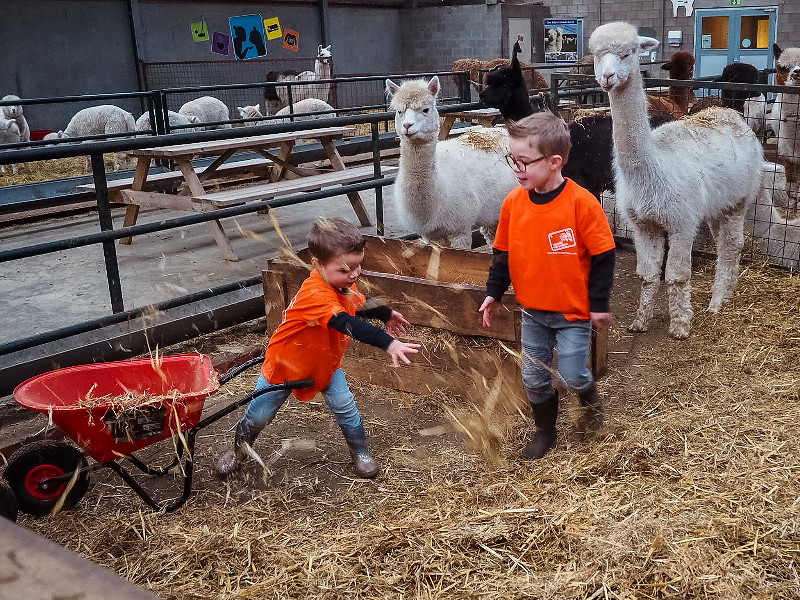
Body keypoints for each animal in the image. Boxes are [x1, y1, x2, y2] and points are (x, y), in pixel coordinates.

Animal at [386, 75, 520, 248]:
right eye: (399, 111)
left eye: (425, 109)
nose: (407, 126)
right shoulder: (431, 236)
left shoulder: (460, 229)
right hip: (494, 213)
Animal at [592, 22, 764, 338]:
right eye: (597, 55)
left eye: (627, 53)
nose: (607, 77)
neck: (655, 168)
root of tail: (728, 112)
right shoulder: (643, 225)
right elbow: (648, 276)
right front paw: (640, 322)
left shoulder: (682, 222)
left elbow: (677, 276)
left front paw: (681, 325)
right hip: (716, 205)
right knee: (724, 242)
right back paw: (727, 292)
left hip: (741, 198)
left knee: (732, 244)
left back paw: (716, 302)